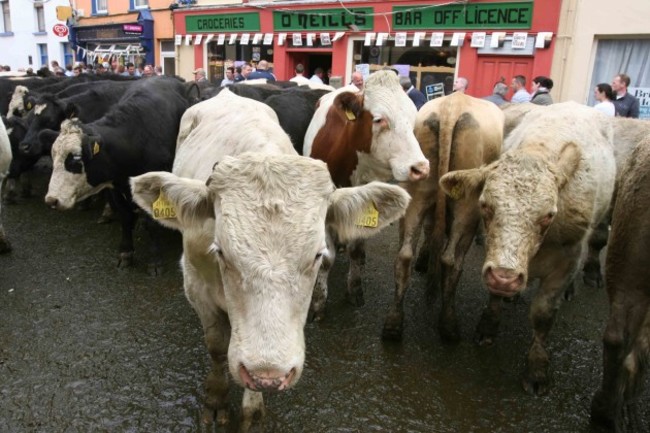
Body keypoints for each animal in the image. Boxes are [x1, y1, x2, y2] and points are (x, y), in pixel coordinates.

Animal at [41, 77, 190, 274]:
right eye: (54, 157)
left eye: (76, 159)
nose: (52, 200)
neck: (136, 136)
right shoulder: (115, 186)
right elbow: (125, 217)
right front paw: (125, 252)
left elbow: (151, 222)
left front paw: (155, 261)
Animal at [129, 89, 408, 430]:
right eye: (220, 251)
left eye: (318, 255)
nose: (269, 373)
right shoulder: (196, 285)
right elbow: (217, 347)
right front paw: (215, 399)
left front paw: (252, 412)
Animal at [304, 71, 430, 318]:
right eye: (379, 119)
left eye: (413, 119)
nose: (420, 168)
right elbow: (326, 259)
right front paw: (318, 302)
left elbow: (355, 251)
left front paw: (354, 288)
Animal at [382, 92, 504, 340]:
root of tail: (451, 109)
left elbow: (429, 229)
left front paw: (425, 257)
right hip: (466, 206)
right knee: (451, 260)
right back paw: (448, 322)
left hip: (416, 190)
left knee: (404, 255)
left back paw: (393, 322)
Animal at [438, 102, 616, 394]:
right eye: (485, 205)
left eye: (549, 215)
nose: (506, 278)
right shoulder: (494, 253)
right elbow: (493, 296)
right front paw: (488, 327)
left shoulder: (567, 260)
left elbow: (543, 314)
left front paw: (536, 369)